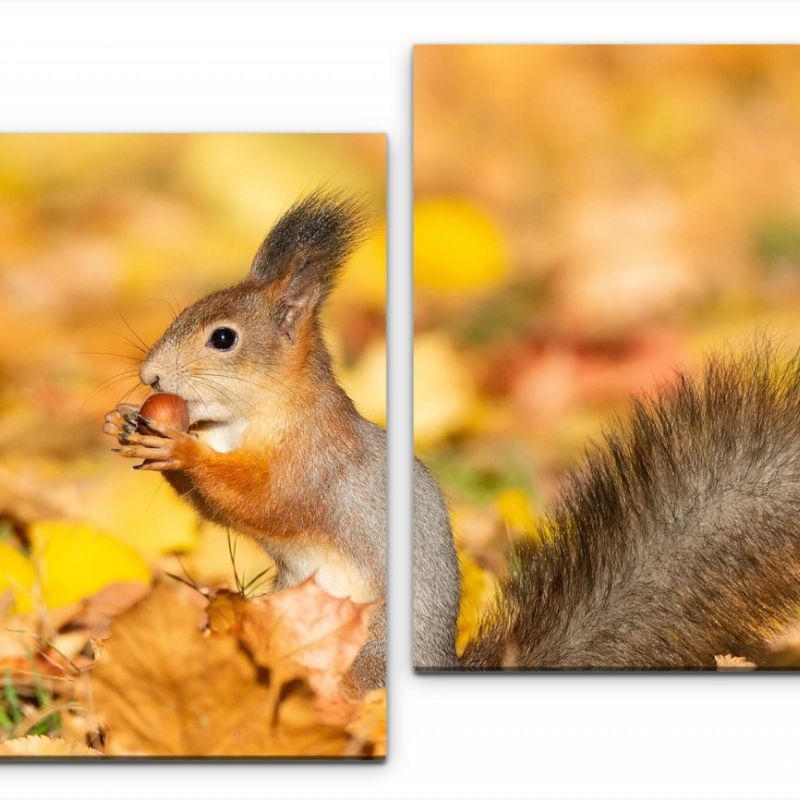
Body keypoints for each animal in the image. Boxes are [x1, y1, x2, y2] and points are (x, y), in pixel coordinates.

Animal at [101, 192, 460, 692]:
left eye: (224, 338)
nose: (148, 375)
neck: (240, 421)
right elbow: (217, 508)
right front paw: (125, 423)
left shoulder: (313, 459)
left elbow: (263, 498)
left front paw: (179, 449)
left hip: (360, 652)